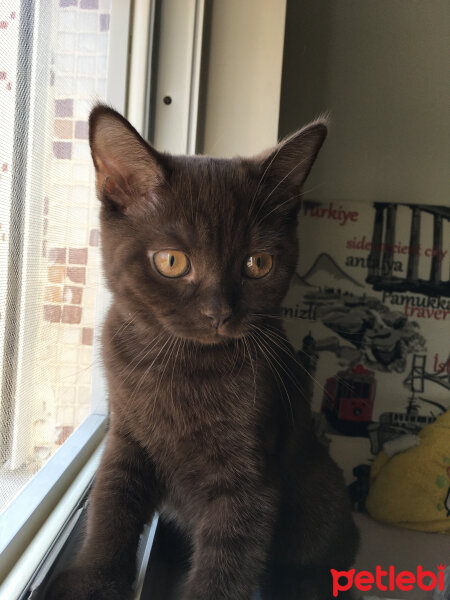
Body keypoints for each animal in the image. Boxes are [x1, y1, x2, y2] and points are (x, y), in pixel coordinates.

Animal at [46, 108, 358, 600]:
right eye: (171, 261)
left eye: (258, 264)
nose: (218, 312)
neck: (182, 365)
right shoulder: (126, 437)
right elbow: (110, 508)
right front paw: (91, 582)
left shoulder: (249, 484)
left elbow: (227, 565)